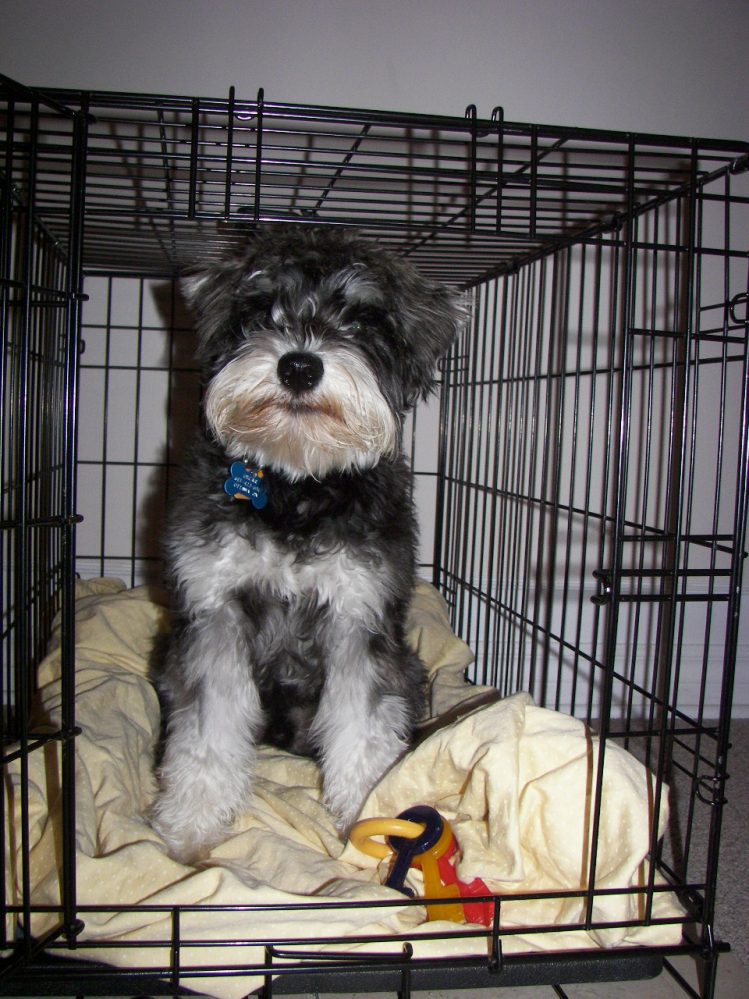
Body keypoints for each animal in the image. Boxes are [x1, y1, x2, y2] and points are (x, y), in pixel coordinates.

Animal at [150, 225, 462, 860]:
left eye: (362, 322)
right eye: (259, 311)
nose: (298, 367)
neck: (296, 488)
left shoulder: (358, 619)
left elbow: (362, 730)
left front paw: (368, 815)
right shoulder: (216, 615)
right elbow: (208, 732)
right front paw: (191, 825)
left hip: (410, 669)